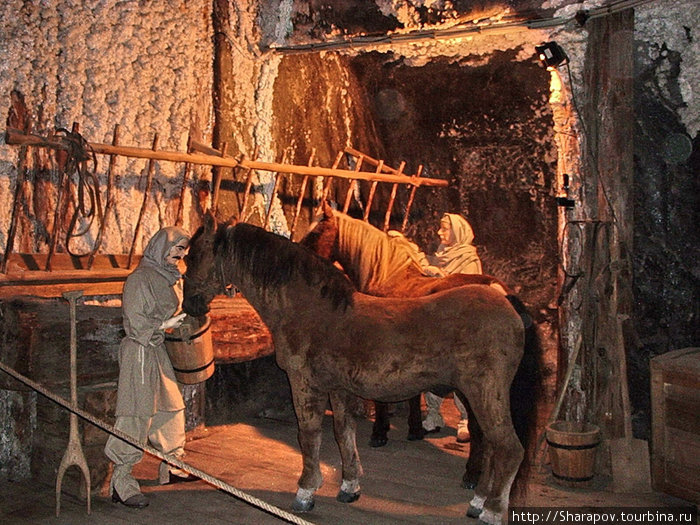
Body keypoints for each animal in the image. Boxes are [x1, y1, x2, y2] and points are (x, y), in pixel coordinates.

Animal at [183, 214, 528, 524]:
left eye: (194, 256)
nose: (189, 305)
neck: (311, 309)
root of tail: (507, 301)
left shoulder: (305, 384)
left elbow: (309, 435)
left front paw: (306, 491)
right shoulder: (338, 388)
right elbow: (343, 431)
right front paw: (349, 486)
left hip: (483, 394)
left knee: (508, 448)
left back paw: (492, 511)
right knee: (491, 445)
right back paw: (477, 502)